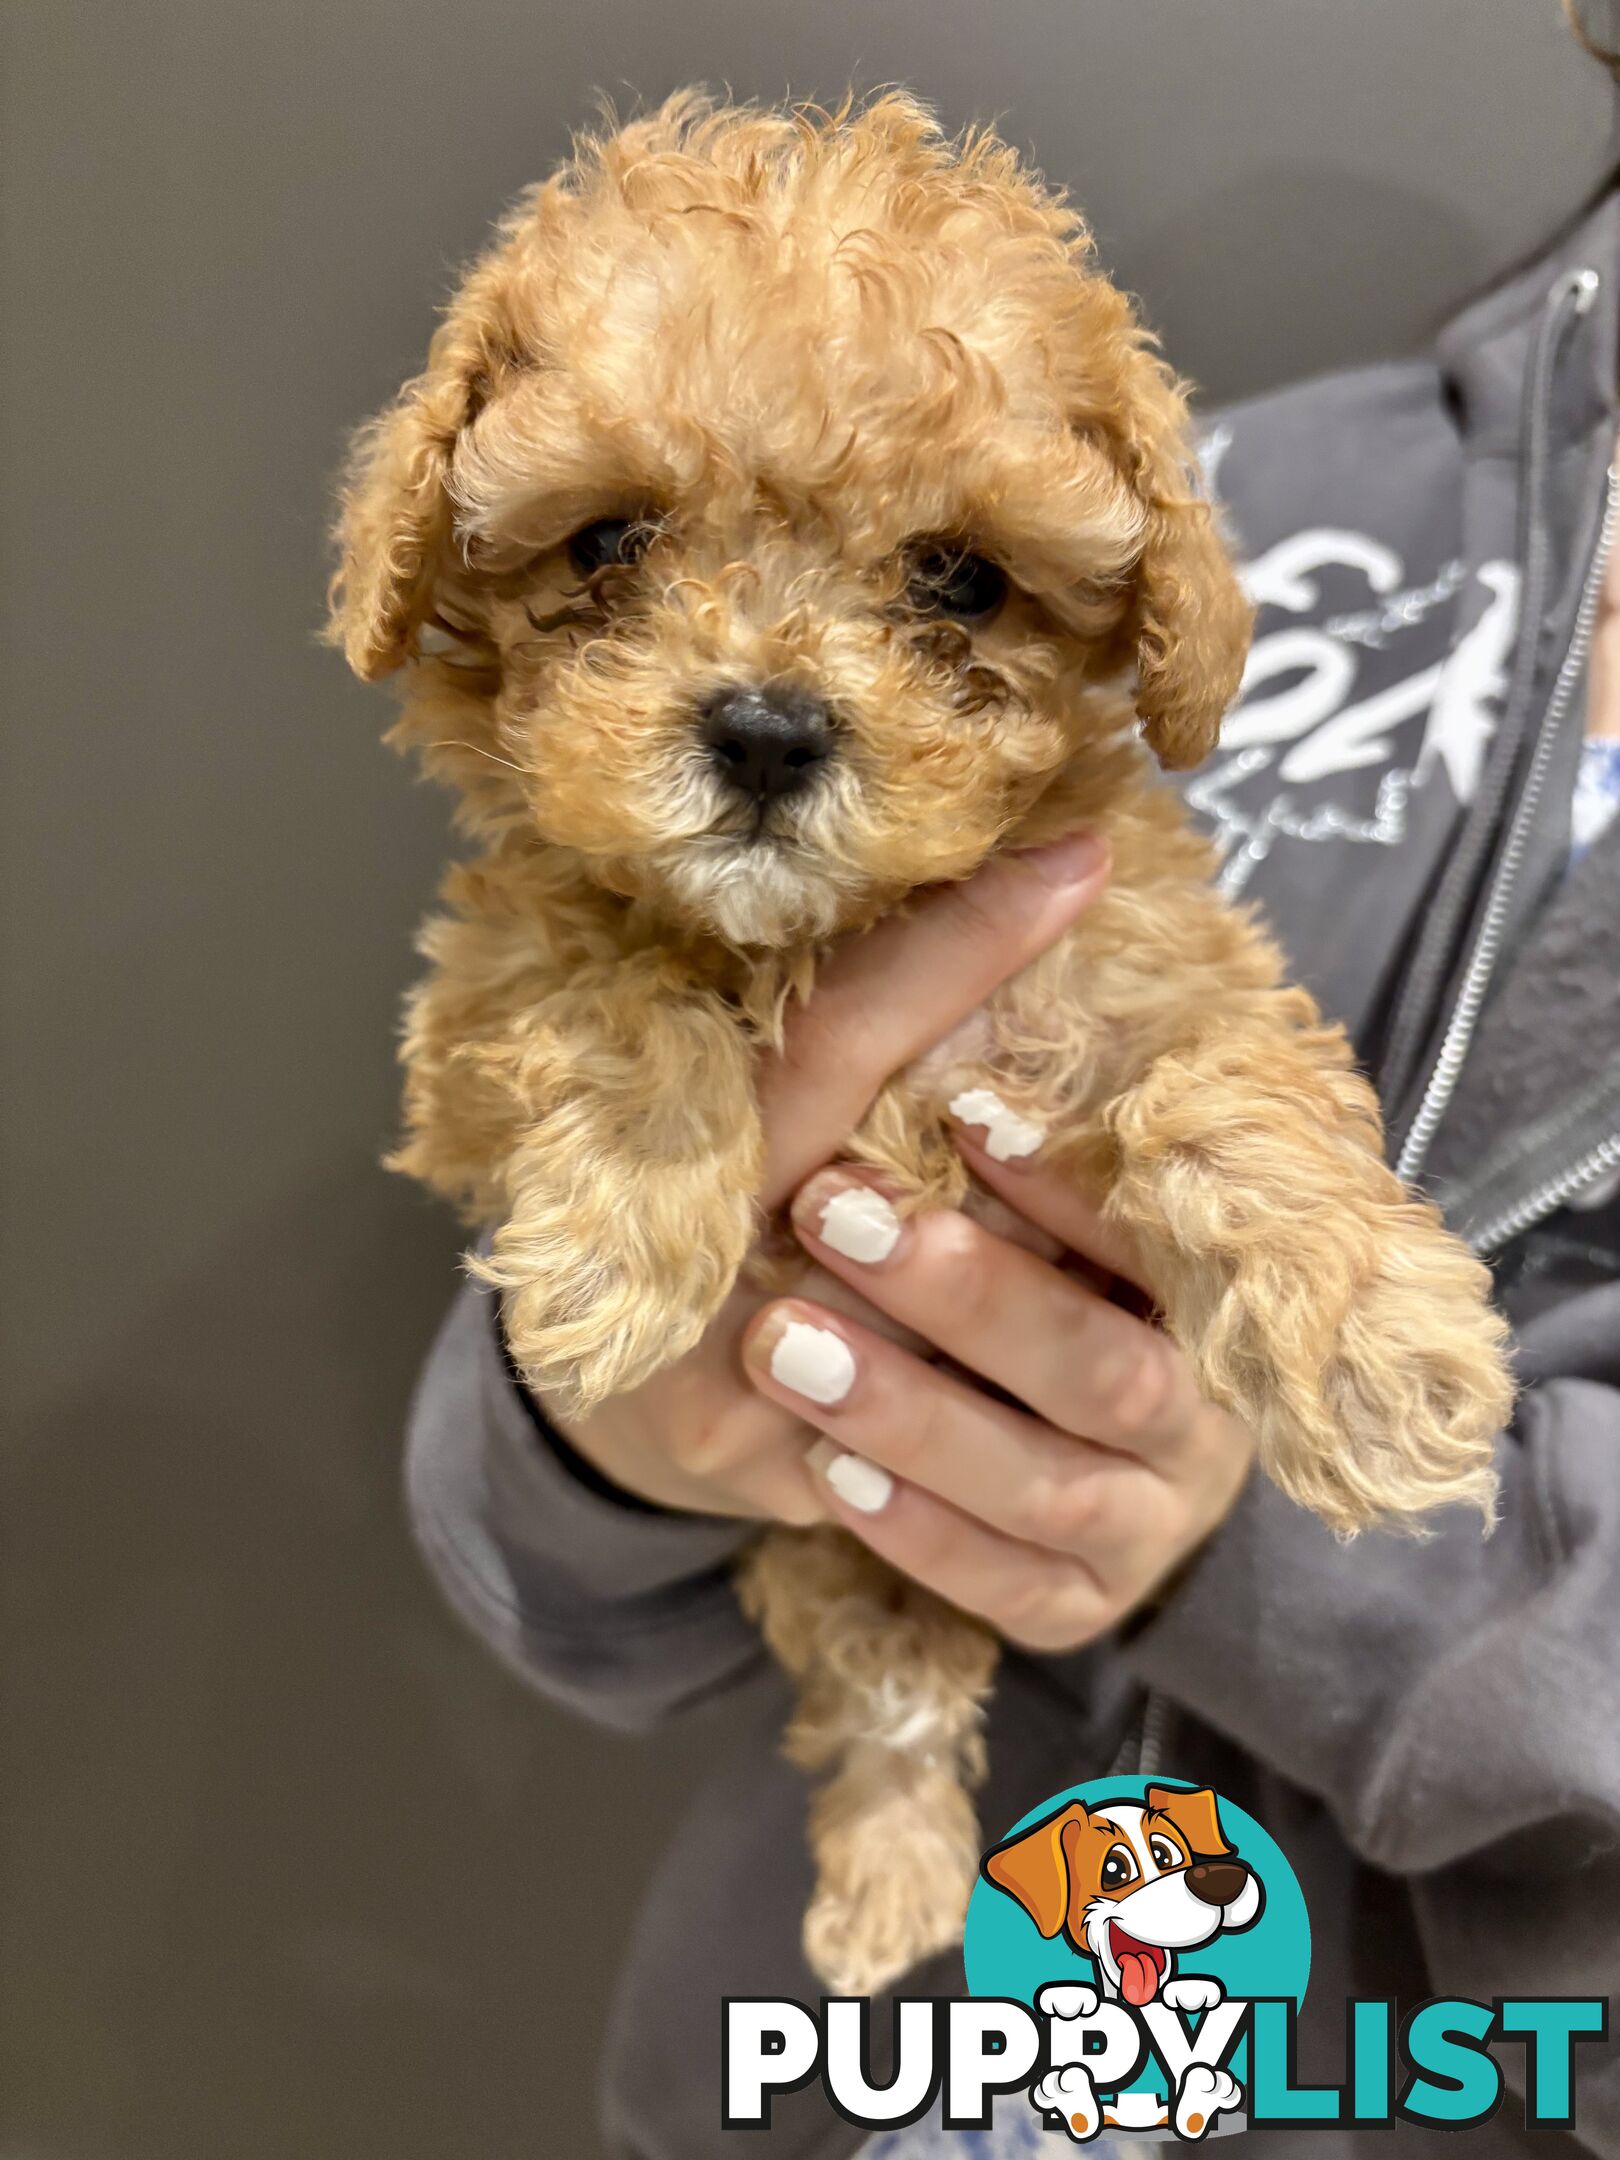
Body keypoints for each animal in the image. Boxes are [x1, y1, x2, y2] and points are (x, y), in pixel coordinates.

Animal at [330, 97, 1520, 1987]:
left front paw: (1376, 1358)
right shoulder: (471, 1006)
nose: (765, 729)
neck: (823, 934)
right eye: (608, 544)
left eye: (960, 580)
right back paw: (885, 1893)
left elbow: (1222, 1083)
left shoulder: (1143, 962)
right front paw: (616, 1246)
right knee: (885, 1694)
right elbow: (606, 979)